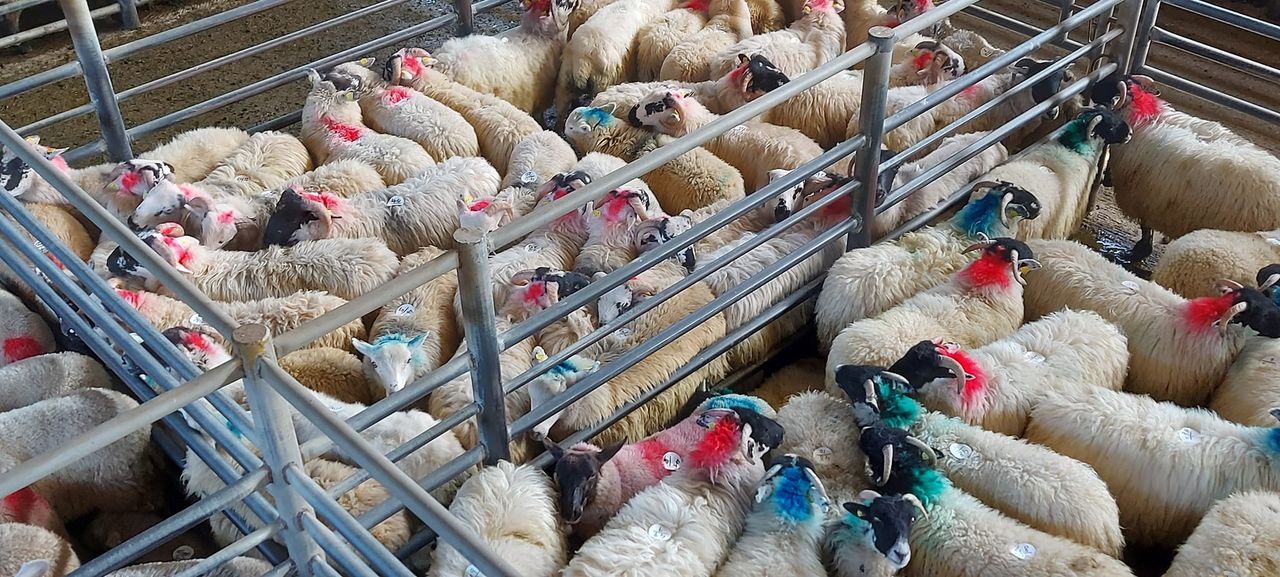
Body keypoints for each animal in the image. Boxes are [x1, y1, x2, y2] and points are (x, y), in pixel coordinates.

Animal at [1088, 74, 1280, 263]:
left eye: (1109, 86)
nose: (1093, 88)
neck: (1143, 116)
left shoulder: (1144, 198)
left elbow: (1146, 228)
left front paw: (1137, 252)